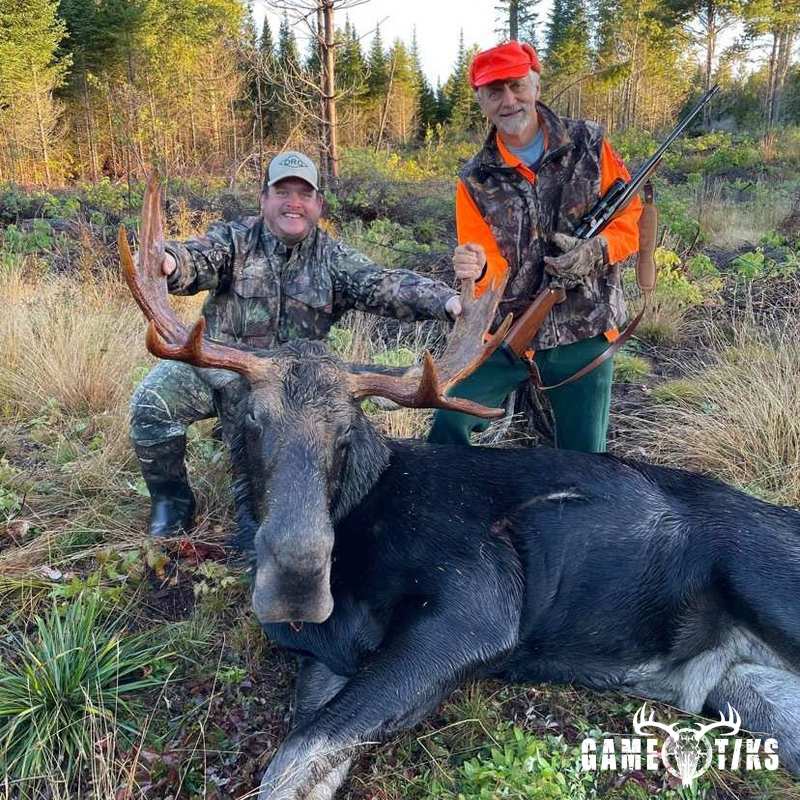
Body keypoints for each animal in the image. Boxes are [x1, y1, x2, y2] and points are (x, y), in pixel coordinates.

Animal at [120, 177, 800, 800]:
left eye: (345, 433)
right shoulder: (328, 657)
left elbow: (297, 755)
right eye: (251, 421)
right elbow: (307, 751)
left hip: (765, 582)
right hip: (745, 685)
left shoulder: (476, 608)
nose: (296, 581)